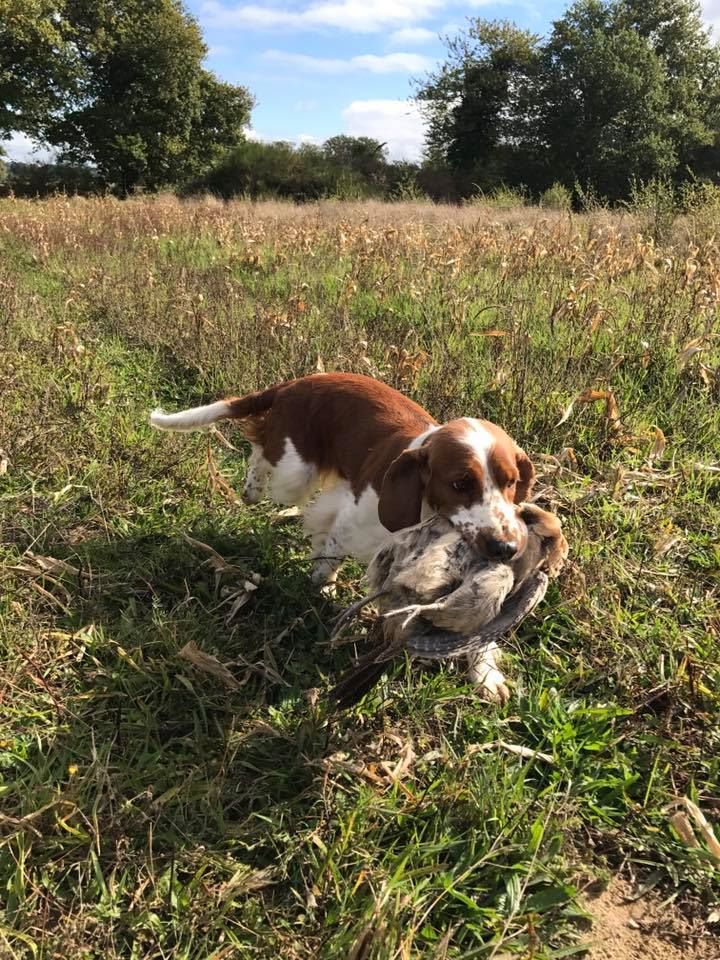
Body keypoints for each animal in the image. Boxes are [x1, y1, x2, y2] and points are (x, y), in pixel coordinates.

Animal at [152, 376, 536, 696]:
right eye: (460, 483)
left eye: (511, 482)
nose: (506, 548)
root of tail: (299, 382)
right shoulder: (352, 526)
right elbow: (328, 560)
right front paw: (320, 591)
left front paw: (486, 674)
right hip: (294, 472)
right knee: (260, 451)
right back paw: (251, 488)